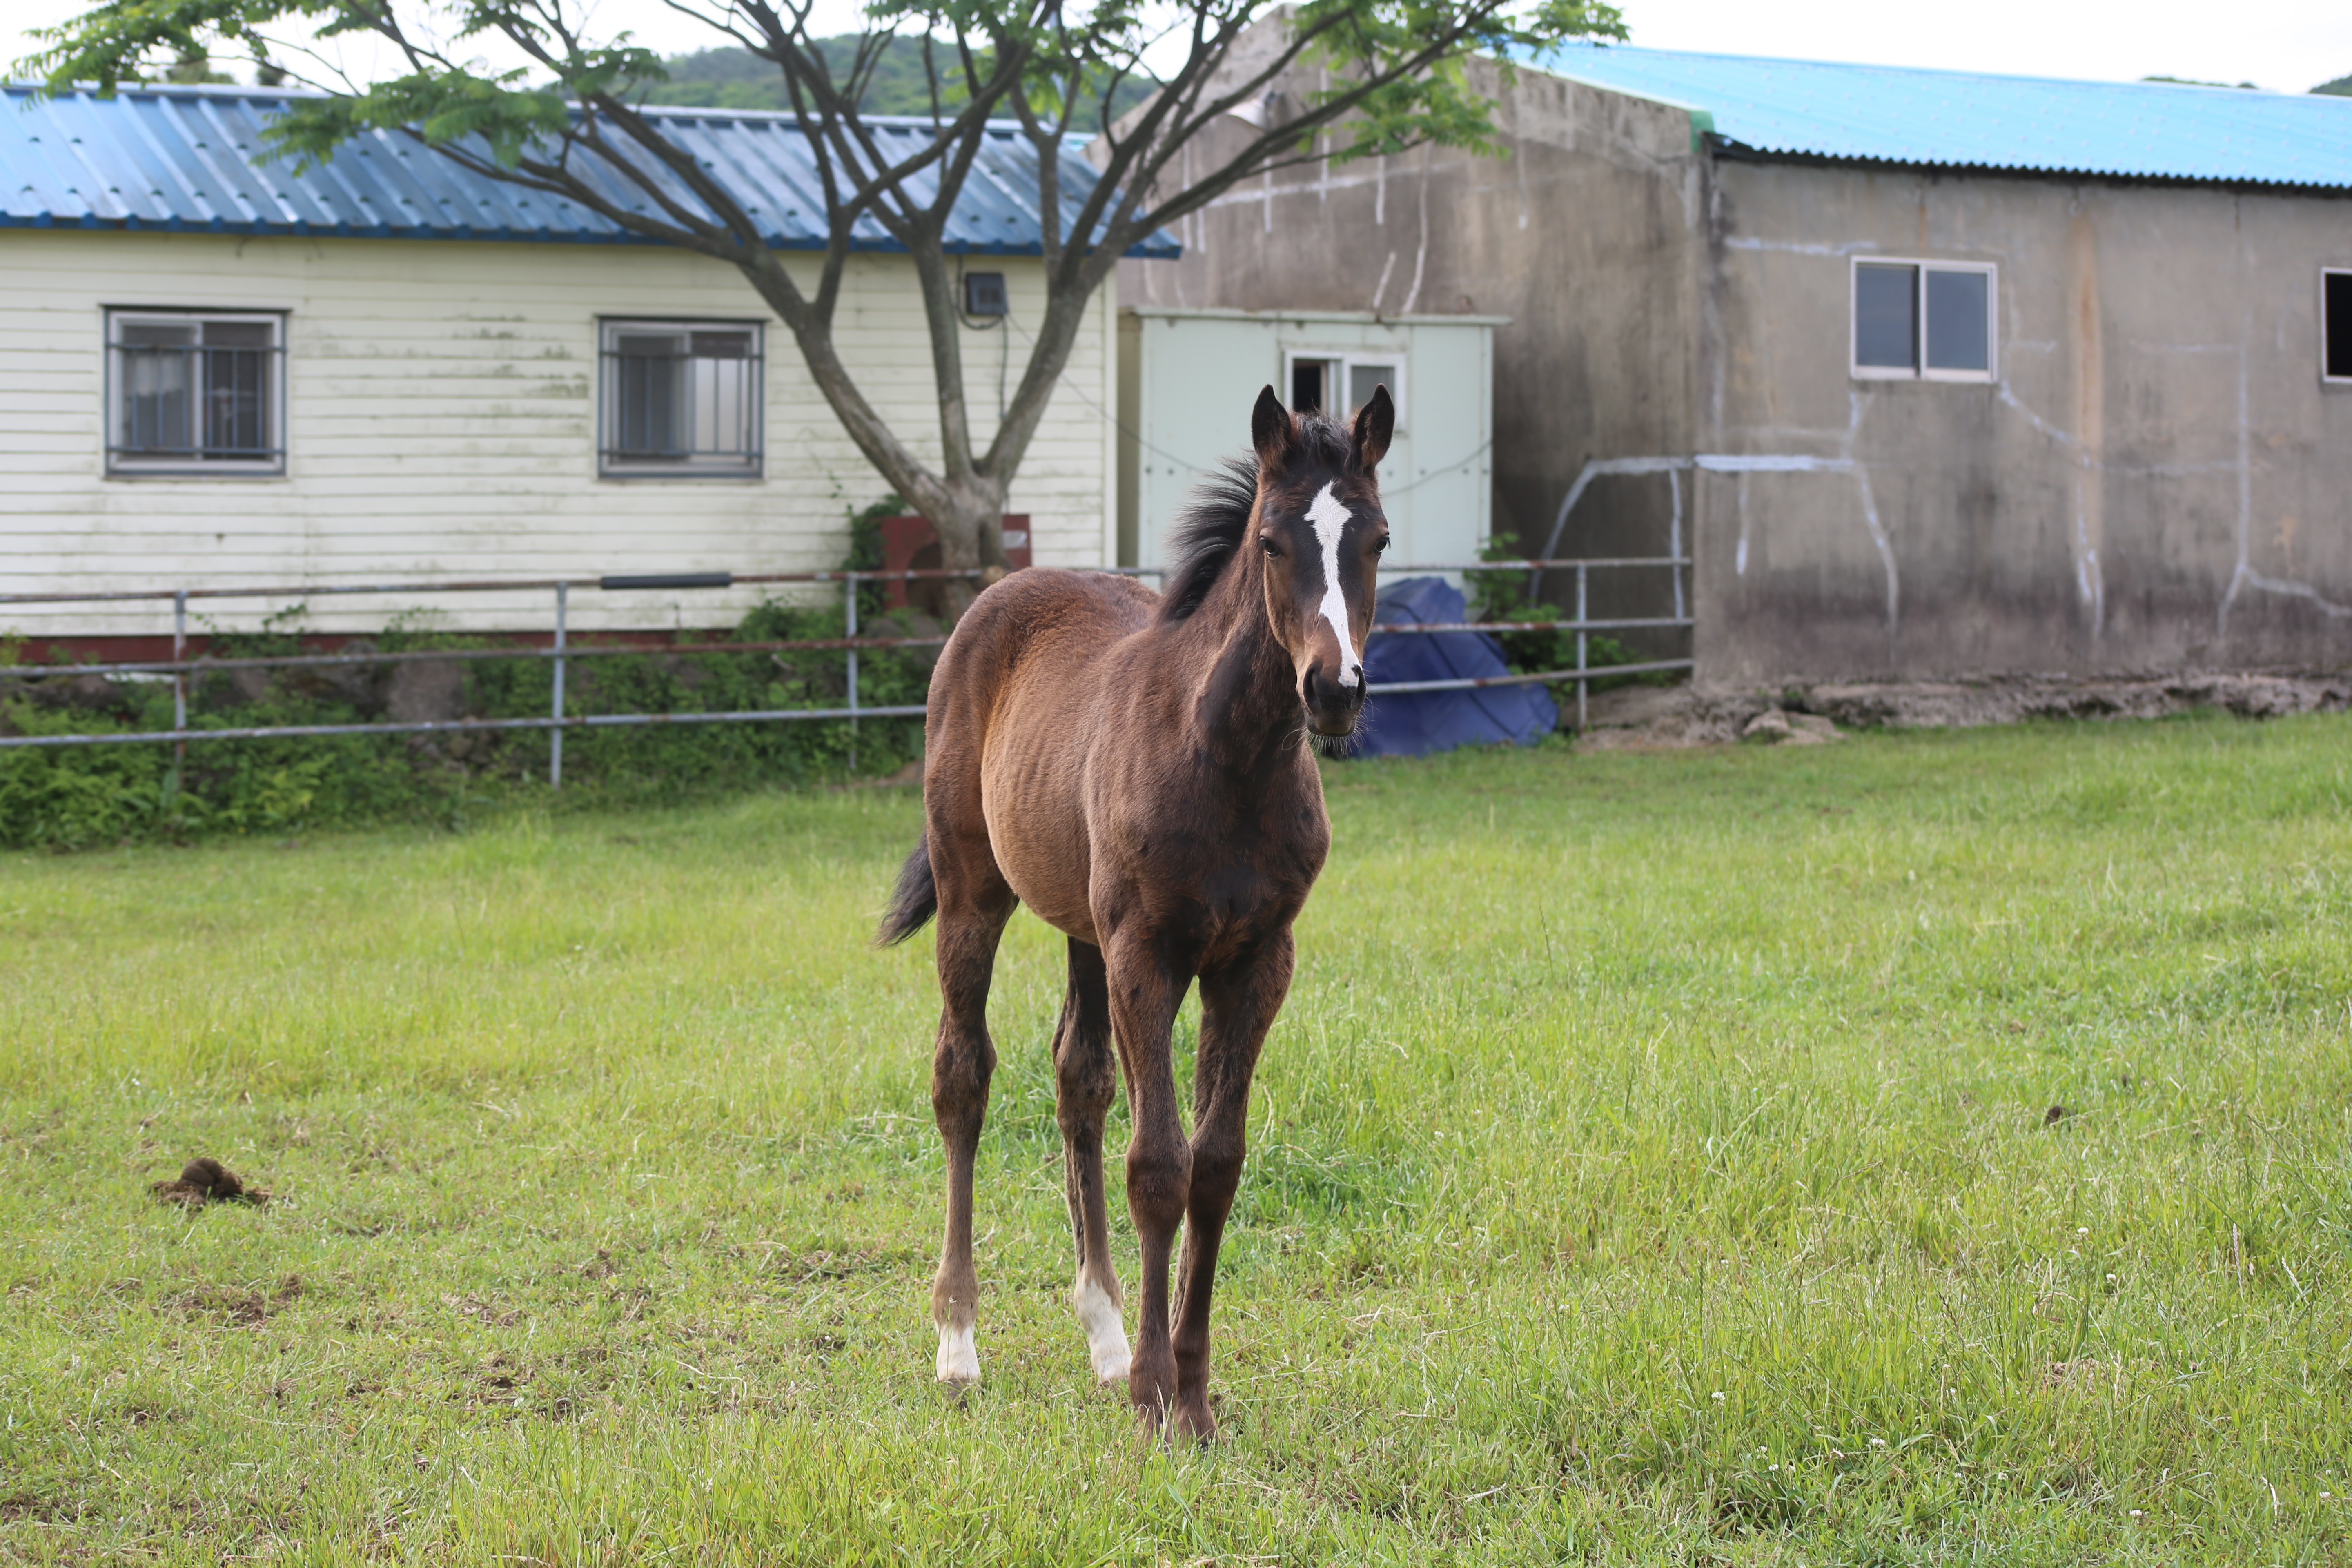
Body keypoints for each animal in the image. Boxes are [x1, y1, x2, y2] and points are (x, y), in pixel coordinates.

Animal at [884, 385, 1392, 1439]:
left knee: (1077, 1080)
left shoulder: (1256, 961)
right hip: (973, 892)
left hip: (1081, 927)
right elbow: (1158, 1164)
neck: (1226, 759)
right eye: (1273, 542)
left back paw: (1106, 1336)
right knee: (962, 1076)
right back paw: (958, 1345)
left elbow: (1215, 1165)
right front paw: (1159, 1398)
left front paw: (1188, 1390)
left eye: (1376, 540)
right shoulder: (1146, 955)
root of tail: (997, 594)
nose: (1334, 691)